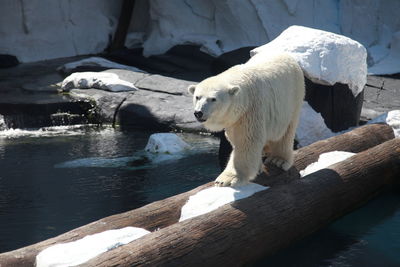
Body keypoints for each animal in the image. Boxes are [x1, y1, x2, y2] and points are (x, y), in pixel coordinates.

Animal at [188, 53, 304, 187]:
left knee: (285, 133)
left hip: (292, 98)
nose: (198, 113)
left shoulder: (251, 110)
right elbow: (235, 138)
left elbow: (246, 141)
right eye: (197, 97)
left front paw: (226, 179)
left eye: (213, 99)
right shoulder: (235, 118)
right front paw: (257, 167)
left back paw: (278, 160)